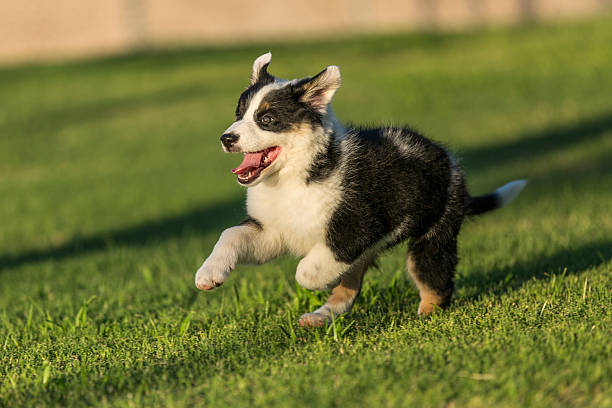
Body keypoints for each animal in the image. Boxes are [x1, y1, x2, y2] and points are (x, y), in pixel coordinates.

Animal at [196, 53, 524, 328]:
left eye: (266, 120)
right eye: (238, 114)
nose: (226, 138)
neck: (293, 179)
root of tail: (450, 162)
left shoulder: (355, 228)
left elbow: (307, 270)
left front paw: (319, 279)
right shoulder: (272, 230)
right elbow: (230, 235)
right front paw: (208, 274)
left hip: (434, 233)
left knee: (435, 279)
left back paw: (427, 314)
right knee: (352, 286)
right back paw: (321, 316)